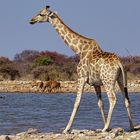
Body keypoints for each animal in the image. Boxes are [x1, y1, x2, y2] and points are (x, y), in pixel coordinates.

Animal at [29, 5, 133, 133]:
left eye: (41, 14)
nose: (31, 20)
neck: (79, 50)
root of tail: (119, 63)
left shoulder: (81, 77)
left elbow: (77, 102)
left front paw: (66, 129)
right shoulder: (96, 83)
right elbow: (100, 104)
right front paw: (106, 126)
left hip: (108, 81)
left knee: (113, 99)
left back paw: (105, 128)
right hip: (121, 79)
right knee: (126, 99)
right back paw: (131, 127)